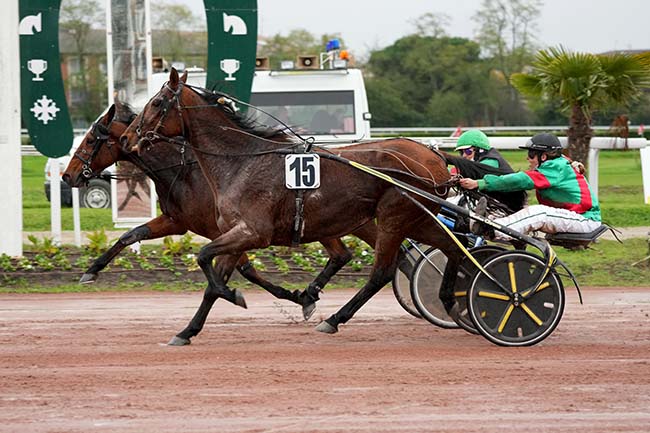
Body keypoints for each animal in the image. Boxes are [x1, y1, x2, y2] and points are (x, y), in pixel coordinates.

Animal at [63, 101, 378, 318]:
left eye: (90, 140)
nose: (68, 175)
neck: (188, 170)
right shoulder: (178, 220)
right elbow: (130, 235)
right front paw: (91, 270)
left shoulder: (229, 229)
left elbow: (243, 269)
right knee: (342, 255)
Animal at [117, 68, 460, 344]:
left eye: (156, 103)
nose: (126, 138)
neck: (241, 161)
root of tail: (434, 155)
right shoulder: (234, 233)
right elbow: (215, 279)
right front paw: (188, 330)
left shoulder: (253, 232)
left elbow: (203, 258)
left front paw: (235, 296)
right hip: (418, 218)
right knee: (450, 248)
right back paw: (448, 299)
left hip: (394, 217)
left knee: (383, 272)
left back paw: (334, 320)